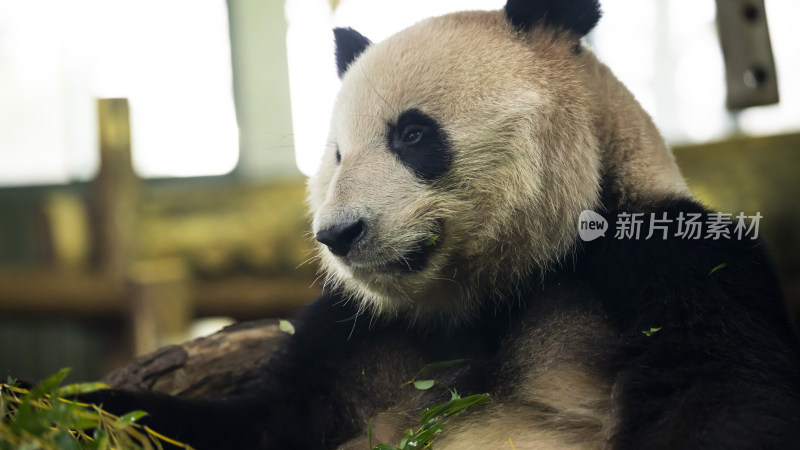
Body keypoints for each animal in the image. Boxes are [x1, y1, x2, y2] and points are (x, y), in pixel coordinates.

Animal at [86, 0, 800, 450]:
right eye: (337, 155)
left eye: (411, 134)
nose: (338, 235)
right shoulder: (354, 333)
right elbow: (251, 424)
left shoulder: (669, 262)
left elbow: (718, 396)